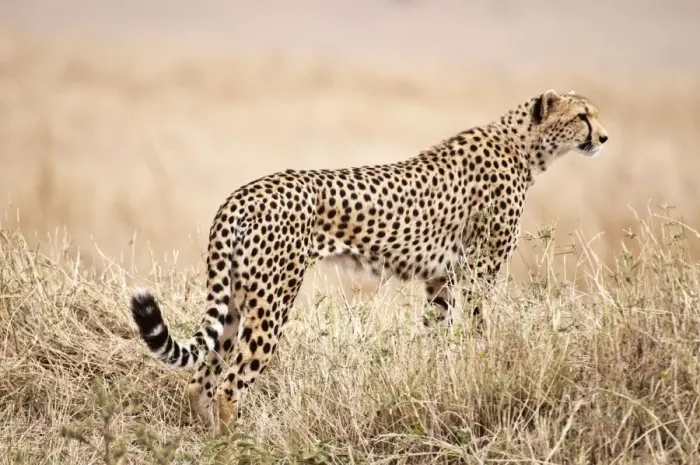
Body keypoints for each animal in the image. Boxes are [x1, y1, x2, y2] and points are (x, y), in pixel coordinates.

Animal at [130, 88, 609, 435]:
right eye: (582, 116)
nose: (603, 138)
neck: (524, 146)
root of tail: (241, 193)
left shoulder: (440, 279)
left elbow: (434, 335)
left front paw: (428, 380)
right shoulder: (478, 272)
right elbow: (478, 329)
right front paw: (484, 367)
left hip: (235, 300)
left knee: (202, 378)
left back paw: (207, 438)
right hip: (272, 300)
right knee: (230, 383)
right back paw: (236, 442)